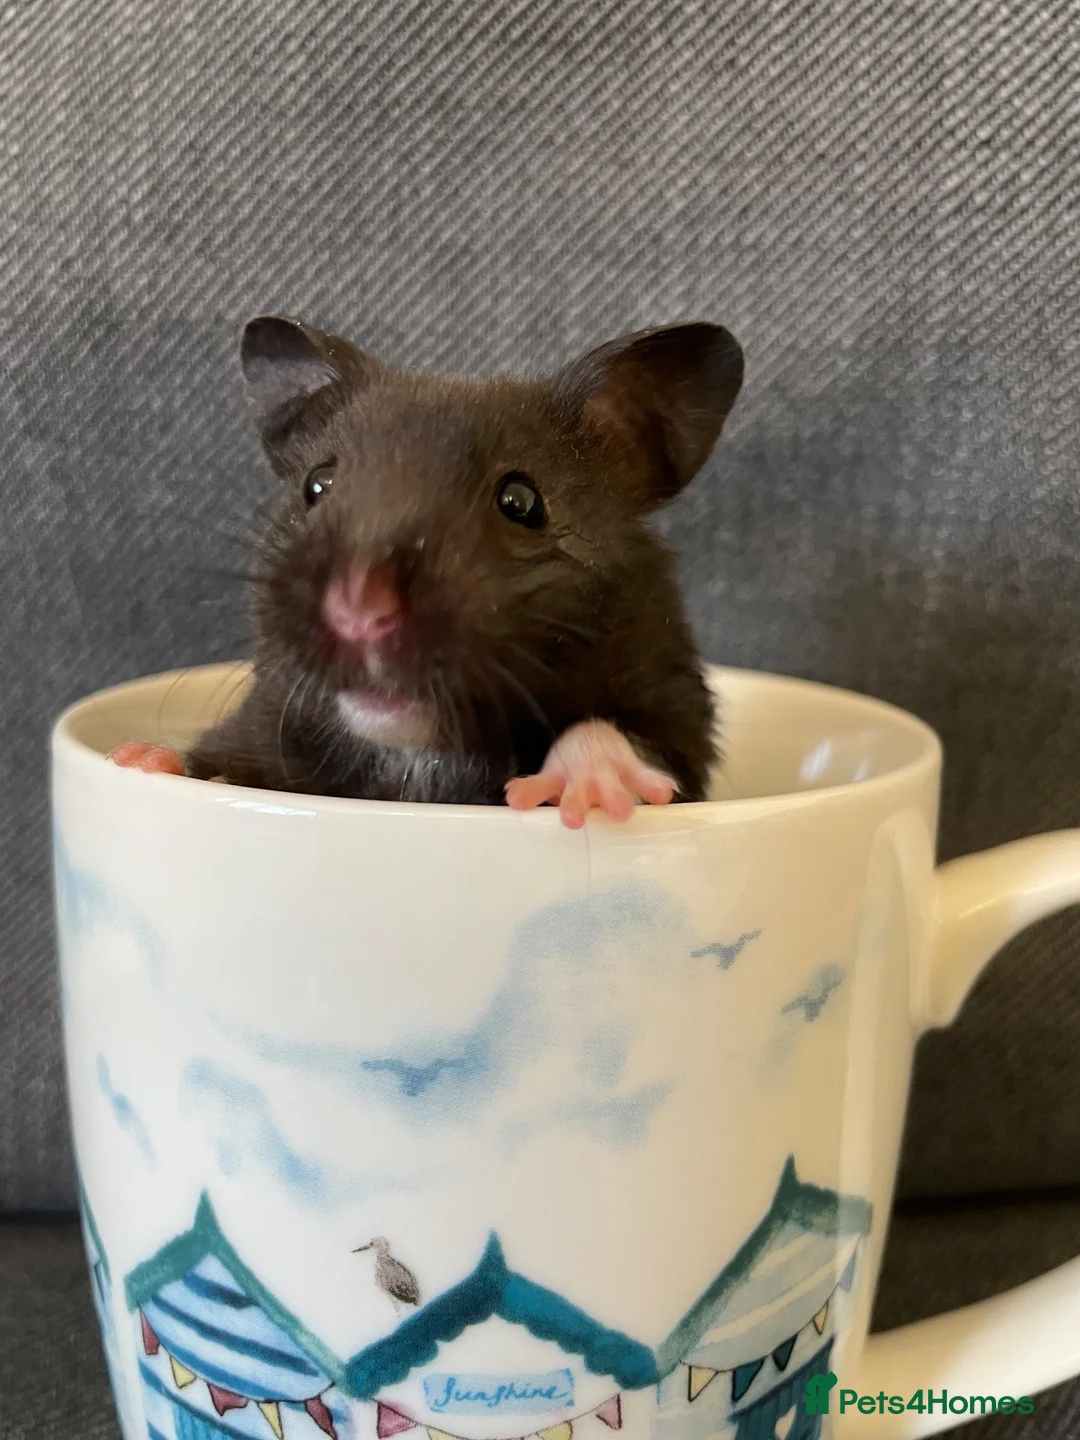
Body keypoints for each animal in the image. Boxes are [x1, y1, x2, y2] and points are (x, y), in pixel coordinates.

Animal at [112, 316, 743, 827]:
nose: (358, 610)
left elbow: (616, 739)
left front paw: (585, 791)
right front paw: (143, 760)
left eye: (522, 502)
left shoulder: (681, 734)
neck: (414, 754)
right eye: (316, 484)